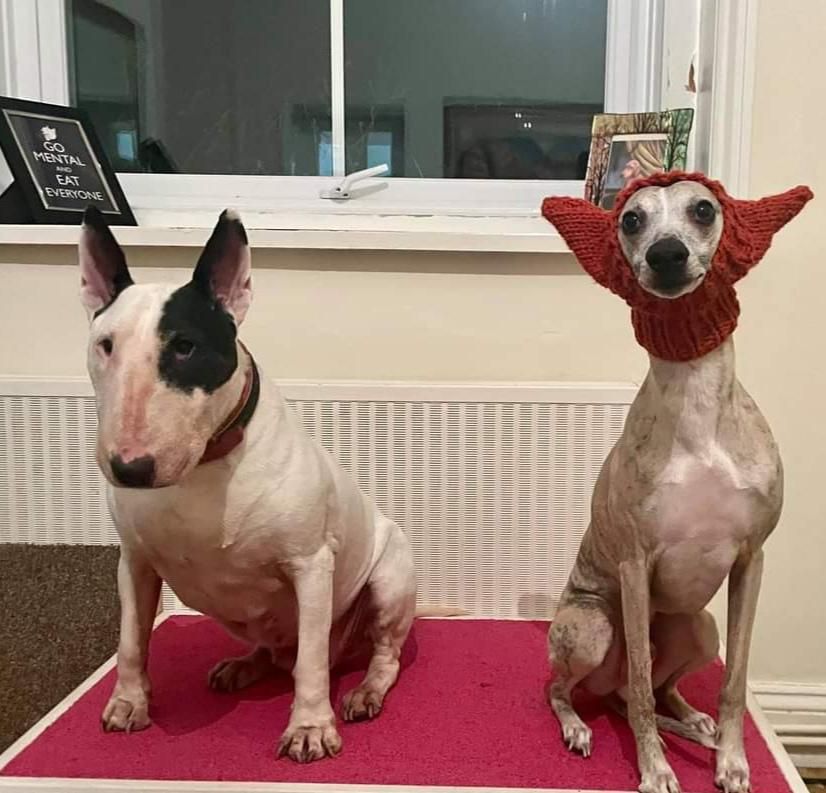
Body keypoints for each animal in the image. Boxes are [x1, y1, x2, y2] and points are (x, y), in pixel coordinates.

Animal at [80, 206, 416, 760]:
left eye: (186, 346)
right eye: (105, 346)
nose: (130, 469)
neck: (204, 468)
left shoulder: (310, 564)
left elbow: (311, 664)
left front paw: (309, 727)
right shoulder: (135, 563)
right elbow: (131, 640)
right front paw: (129, 703)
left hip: (389, 580)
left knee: (375, 653)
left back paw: (365, 690)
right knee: (275, 650)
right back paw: (243, 666)